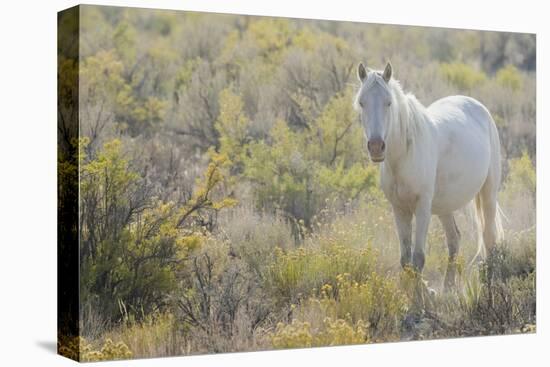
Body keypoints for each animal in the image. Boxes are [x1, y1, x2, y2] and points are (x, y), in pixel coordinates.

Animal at [358, 61, 504, 288]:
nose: (375, 147)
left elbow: (418, 259)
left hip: (488, 194)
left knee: (489, 238)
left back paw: (489, 285)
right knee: (454, 239)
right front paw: (423, 293)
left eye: (388, 103)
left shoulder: (423, 207)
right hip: (445, 206)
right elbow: (406, 261)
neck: (403, 156)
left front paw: (421, 297)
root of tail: (478, 106)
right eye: (362, 103)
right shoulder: (399, 209)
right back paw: (448, 289)